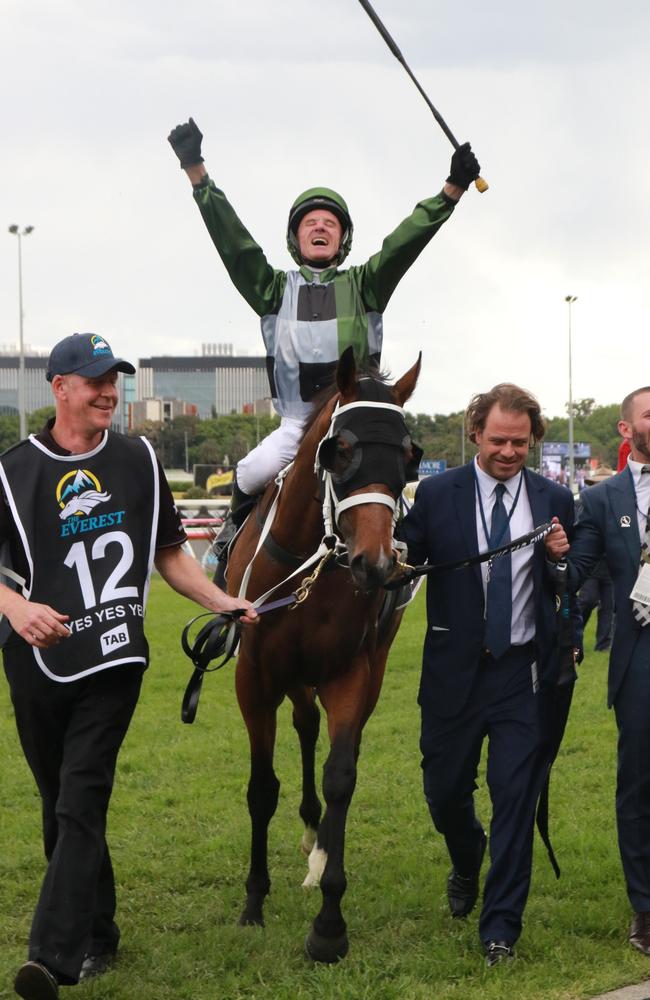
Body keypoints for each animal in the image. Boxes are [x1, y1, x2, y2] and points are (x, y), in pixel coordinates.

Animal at [228, 348, 420, 964]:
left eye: (409, 456)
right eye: (340, 451)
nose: (376, 564)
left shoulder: (349, 673)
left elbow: (341, 777)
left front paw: (330, 924)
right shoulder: (254, 678)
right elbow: (262, 788)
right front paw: (253, 902)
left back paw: (319, 850)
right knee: (304, 724)